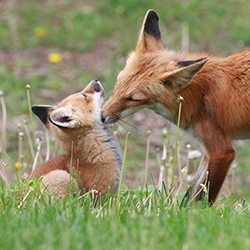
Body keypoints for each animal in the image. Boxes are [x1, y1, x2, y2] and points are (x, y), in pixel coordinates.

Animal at [100, 8, 250, 204]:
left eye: (134, 99)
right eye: (118, 83)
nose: (101, 116)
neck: (199, 94)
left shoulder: (222, 151)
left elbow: (201, 198)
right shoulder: (207, 152)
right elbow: (190, 195)